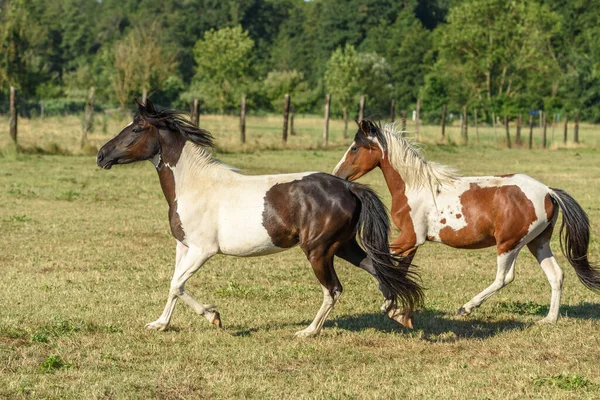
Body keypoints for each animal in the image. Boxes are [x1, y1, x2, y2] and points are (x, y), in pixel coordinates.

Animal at [96, 101, 422, 338]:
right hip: (342, 246)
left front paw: (214, 317)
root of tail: (349, 187)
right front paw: (160, 324)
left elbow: (177, 284)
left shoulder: (203, 250)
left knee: (334, 290)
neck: (195, 185)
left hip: (318, 251)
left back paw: (308, 332)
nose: (101, 155)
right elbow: (175, 284)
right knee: (377, 269)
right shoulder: (183, 246)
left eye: (137, 129)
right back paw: (396, 312)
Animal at [332, 119, 600, 324]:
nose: (337, 175)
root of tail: (548, 191)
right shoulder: (413, 241)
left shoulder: (408, 237)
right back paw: (549, 319)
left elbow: (381, 259)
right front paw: (391, 303)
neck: (414, 187)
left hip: (509, 243)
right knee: (556, 275)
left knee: (504, 278)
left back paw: (466, 307)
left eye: (354, 148)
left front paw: (389, 300)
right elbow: (397, 268)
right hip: (538, 242)